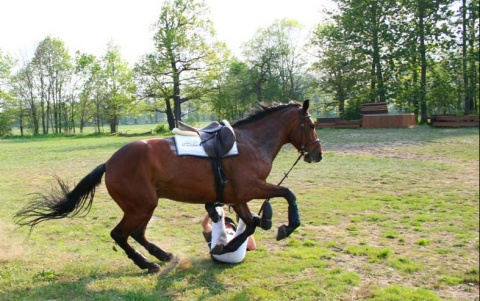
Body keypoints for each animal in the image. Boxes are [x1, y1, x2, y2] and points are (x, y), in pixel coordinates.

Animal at [15, 100, 322, 272]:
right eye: (311, 125)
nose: (317, 154)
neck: (251, 142)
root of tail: (109, 162)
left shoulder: (238, 197)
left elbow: (250, 224)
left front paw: (226, 246)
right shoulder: (250, 188)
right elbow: (287, 194)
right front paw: (286, 226)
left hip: (144, 206)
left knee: (136, 234)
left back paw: (162, 255)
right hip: (141, 206)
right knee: (120, 234)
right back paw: (148, 263)